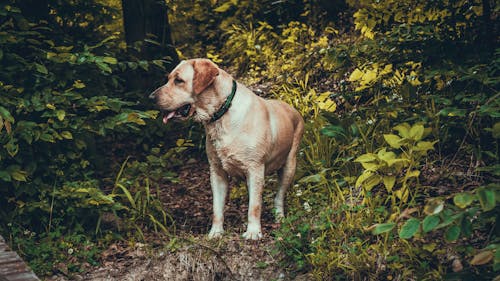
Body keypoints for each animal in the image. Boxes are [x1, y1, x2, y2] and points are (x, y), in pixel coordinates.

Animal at [149, 58, 304, 238]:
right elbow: (217, 208)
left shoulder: (255, 169)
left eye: (179, 80)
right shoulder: (217, 172)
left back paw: (280, 217)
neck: (222, 113)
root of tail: (292, 107)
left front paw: (253, 232)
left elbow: (254, 206)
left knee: (279, 196)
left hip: (289, 166)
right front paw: (216, 233)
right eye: (168, 79)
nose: (151, 97)